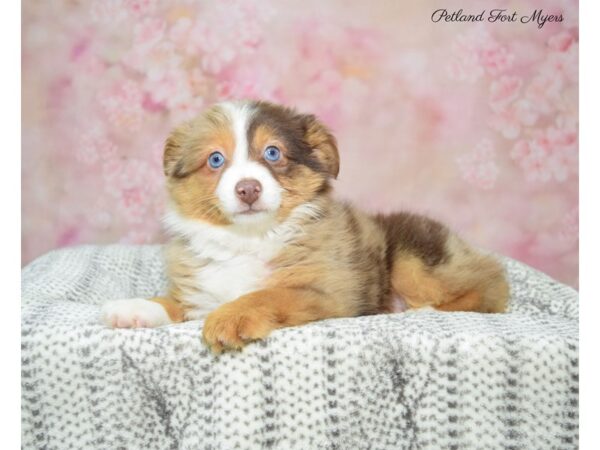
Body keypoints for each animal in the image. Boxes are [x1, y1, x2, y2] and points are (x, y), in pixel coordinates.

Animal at [101, 100, 508, 354]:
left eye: (273, 153)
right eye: (215, 160)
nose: (248, 188)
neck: (247, 241)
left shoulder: (327, 291)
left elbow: (268, 294)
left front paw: (230, 317)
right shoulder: (201, 289)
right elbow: (173, 301)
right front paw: (134, 309)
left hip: (416, 258)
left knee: (488, 285)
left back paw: (422, 310)